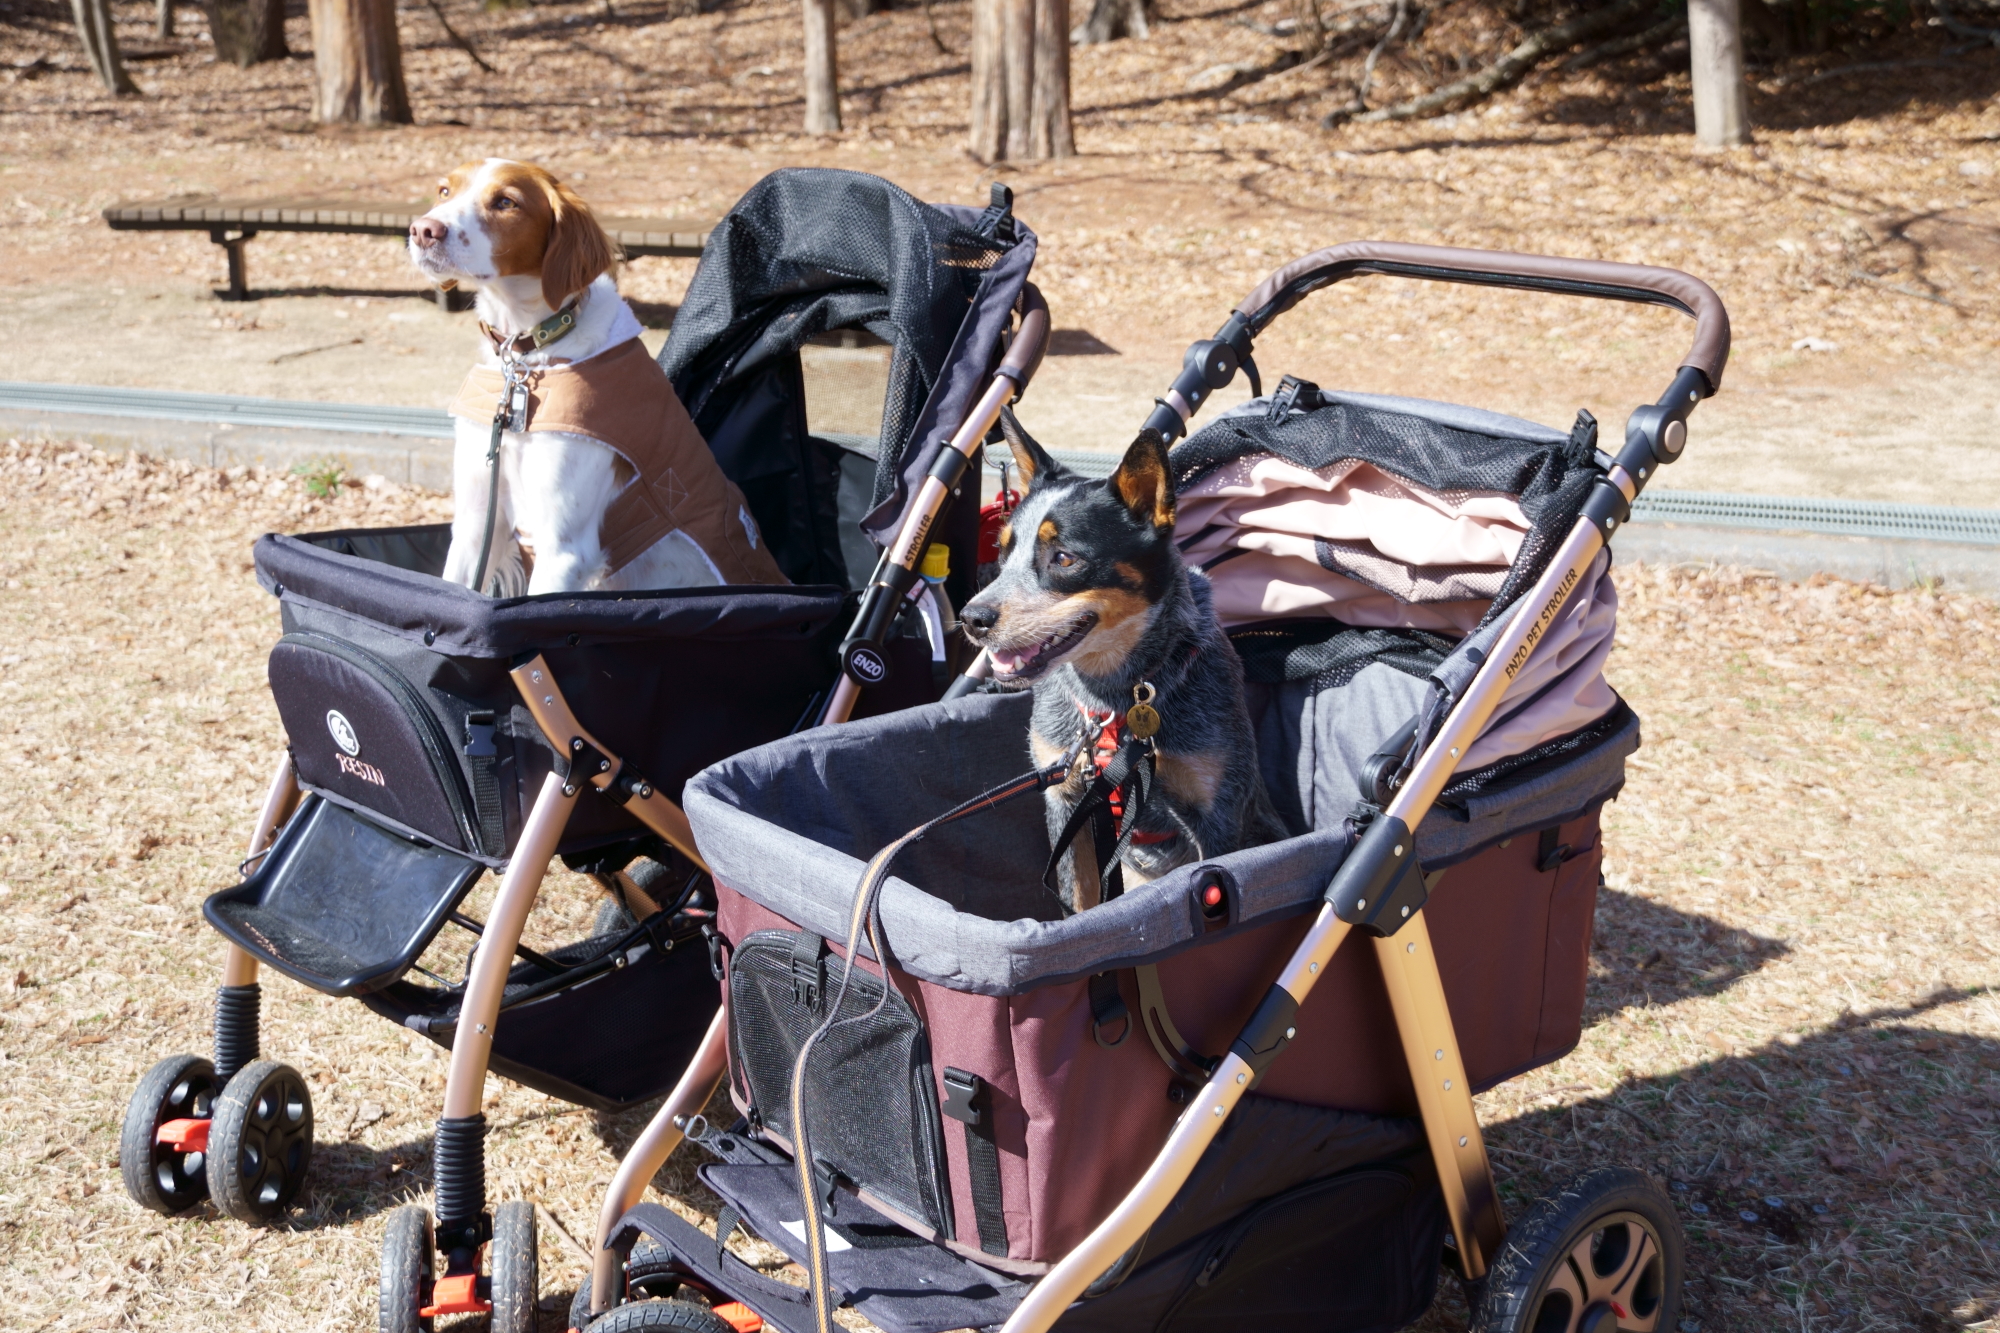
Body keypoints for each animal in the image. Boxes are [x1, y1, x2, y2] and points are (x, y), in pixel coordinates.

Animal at [406, 157, 780, 592]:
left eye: (505, 202)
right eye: (444, 191)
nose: (423, 230)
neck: (531, 357)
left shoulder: (562, 550)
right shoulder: (474, 527)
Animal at [964, 410, 1280, 908]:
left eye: (1064, 558)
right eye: (1001, 550)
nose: (971, 618)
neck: (1113, 701)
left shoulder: (1218, 813)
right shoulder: (1067, 797)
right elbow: (1080, 901)